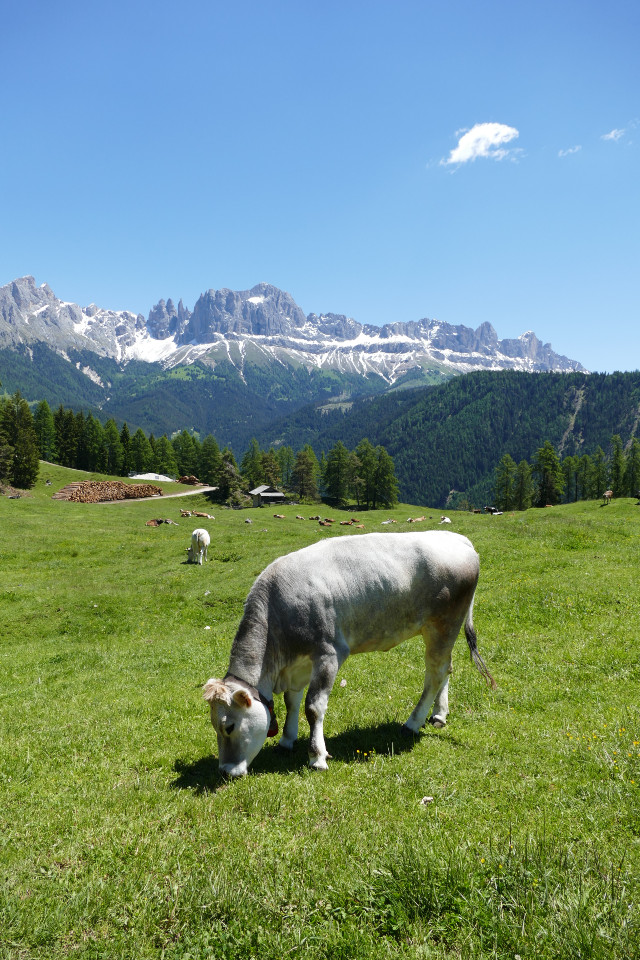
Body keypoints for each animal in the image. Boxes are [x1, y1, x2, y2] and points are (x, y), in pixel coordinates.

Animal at [204, 528, 496, 776]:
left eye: (229, 727)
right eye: (214, 726)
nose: (225, 771)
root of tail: (457, 538)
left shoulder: (329, 653)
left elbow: (313, 707)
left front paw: (317, 756)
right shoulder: (298, 665)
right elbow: (292, 701)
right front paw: (287, 740)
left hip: (444, 624)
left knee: (435, 673)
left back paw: (412, 723)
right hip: (439, 630)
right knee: (445, 668)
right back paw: (438, 714)